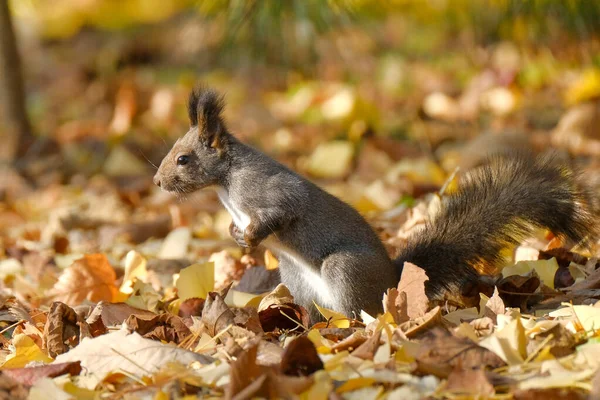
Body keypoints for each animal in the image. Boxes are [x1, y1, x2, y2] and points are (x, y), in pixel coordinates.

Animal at [152, 86, 592, 322]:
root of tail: (393, 282)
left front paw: (252, 237)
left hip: (345, 270)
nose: (157, 181)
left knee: (363, 313)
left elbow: (281, 209)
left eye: (183, 159)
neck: (226, 185)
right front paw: (235, 234)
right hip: (295, 279)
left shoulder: (266, 189)